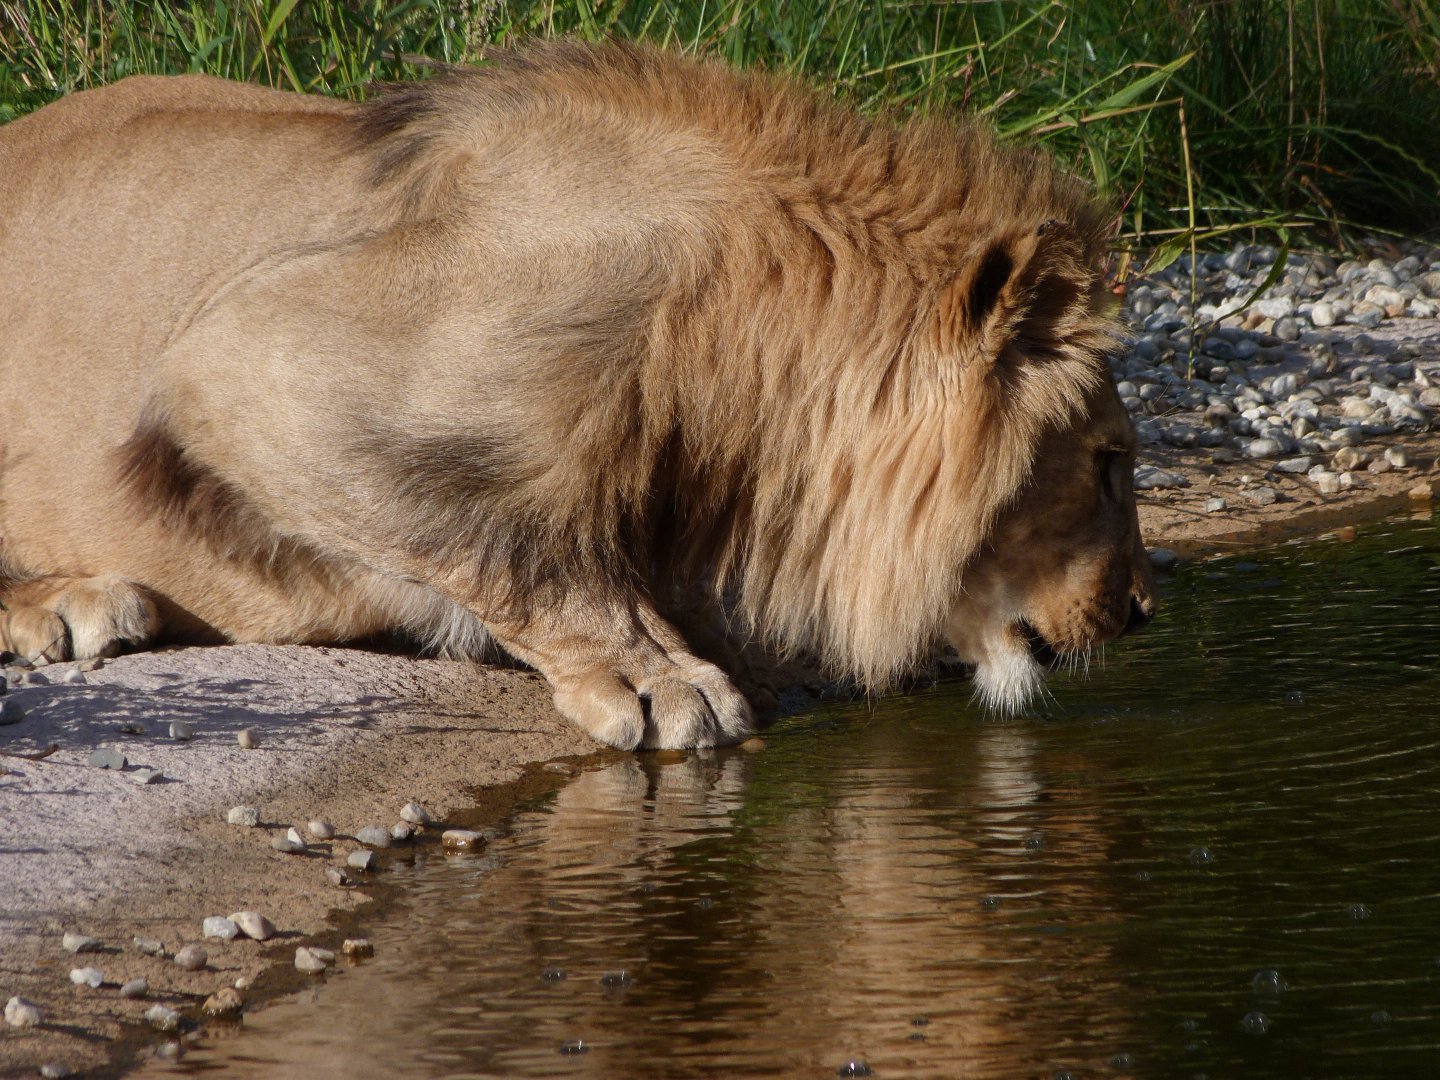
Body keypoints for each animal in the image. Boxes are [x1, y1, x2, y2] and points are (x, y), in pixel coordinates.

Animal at [0, 40, 1154, 749]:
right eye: (1108, 464)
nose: (1144, 610)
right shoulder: (248, 350)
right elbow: (511, 536)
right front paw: (658, 675)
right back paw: (66, 605)